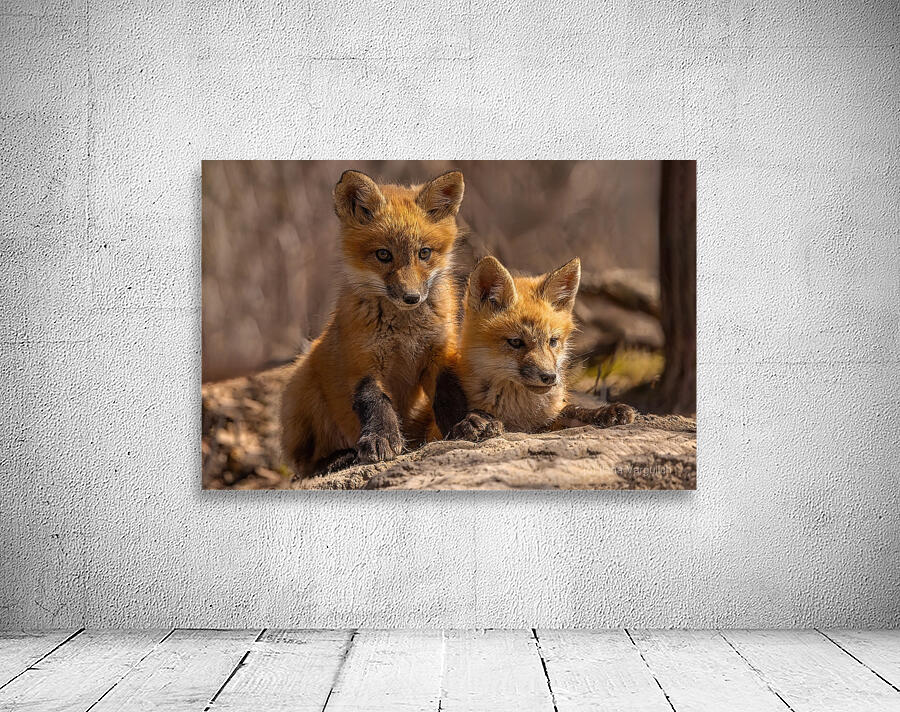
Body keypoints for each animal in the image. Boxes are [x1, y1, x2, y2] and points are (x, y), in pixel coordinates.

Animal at [281, 169, 465, 477]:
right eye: (383, 254)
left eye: (424, 253)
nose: (411, 297)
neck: (405, 332)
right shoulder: (363, 361)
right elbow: (377, 402)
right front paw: (382, 439)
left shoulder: (440, 353)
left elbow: (449, 394)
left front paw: (469, 422)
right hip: (301, 387)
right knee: (304, 467)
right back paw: (338, 459)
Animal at [436, 255, 636, 441]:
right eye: (516, 342)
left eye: (553, 341)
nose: (549, 377)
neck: (521, 414)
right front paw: (473, 423)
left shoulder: (549, 419)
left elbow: (572, 410)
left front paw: (604, 412)